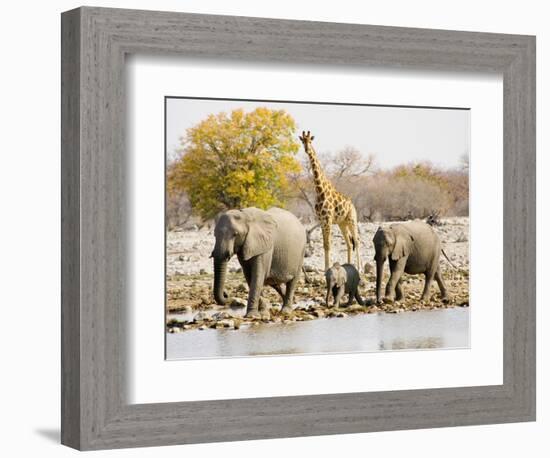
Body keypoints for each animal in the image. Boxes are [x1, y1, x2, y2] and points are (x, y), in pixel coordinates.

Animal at [302, 131, 362, 270]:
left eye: (310, 141)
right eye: (303, 141)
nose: (307, 150)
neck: (320, 190)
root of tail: (353, 205)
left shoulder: (328, 219)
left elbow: (328, 244)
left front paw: (327, 268)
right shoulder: (322, 220)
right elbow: (325, 244)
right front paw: (325, 268)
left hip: (352, 219)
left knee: (356, 241)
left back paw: (359, 268)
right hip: (342, 223)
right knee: (349, 243)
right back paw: (349, 265)